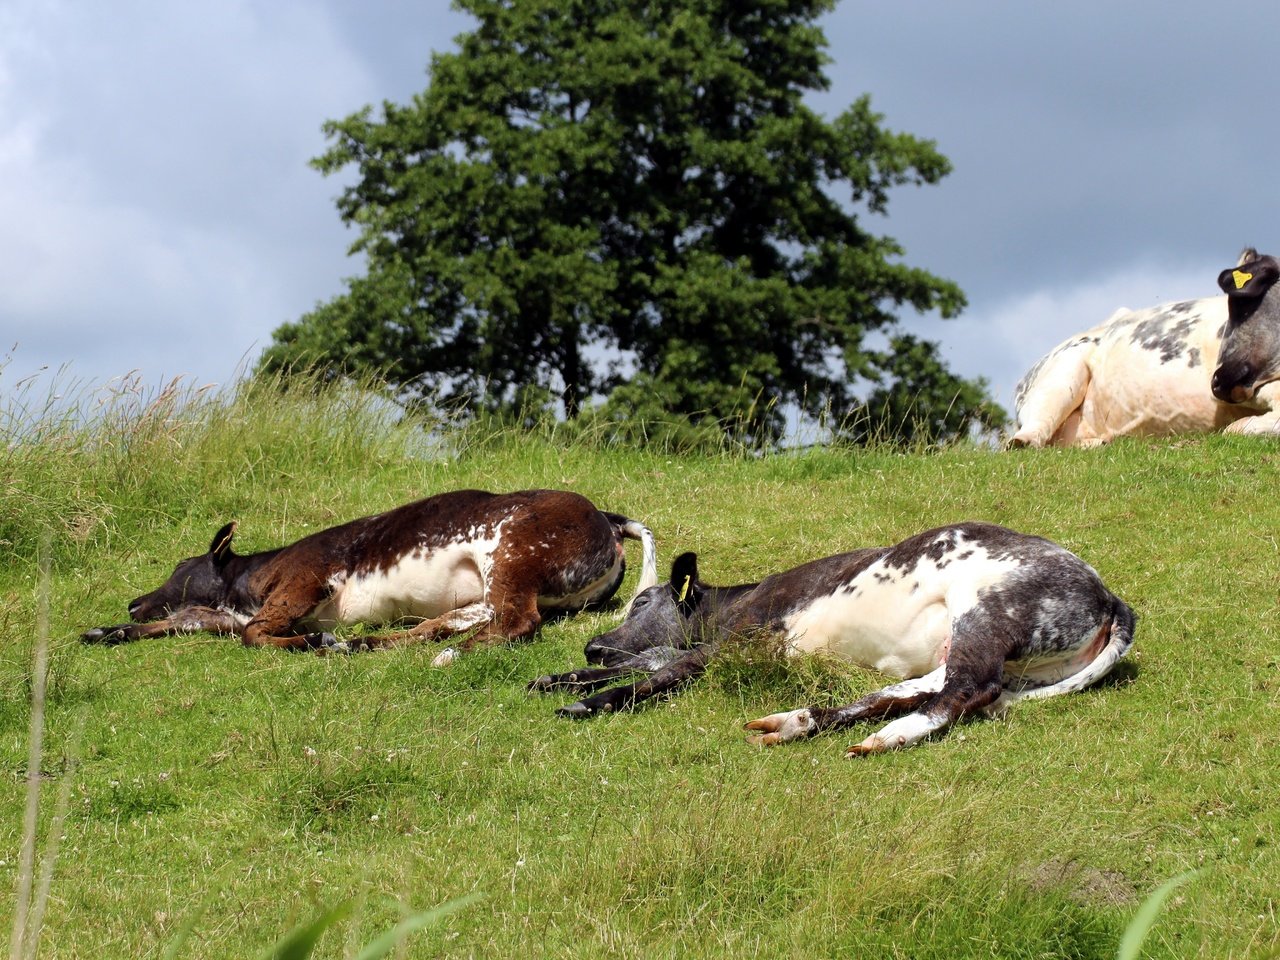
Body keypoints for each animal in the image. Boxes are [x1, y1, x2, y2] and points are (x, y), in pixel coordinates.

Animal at [83, 491, 660, 665]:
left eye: (180, 568)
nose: (133, 602)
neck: (245, 585)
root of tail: (609, 518)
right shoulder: (227, 614)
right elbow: (186, 622)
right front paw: (107, 631)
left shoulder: (304, 581)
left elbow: (255, 634)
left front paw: (311, 641)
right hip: (491, 586)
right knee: (450, 622)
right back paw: (366, 643)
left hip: (513, 554)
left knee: (517, 622)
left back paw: (446, 655)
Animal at [527, 522, 1131, 757]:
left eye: (641, 603)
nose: (593, 643)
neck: (734, 602)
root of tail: (1108, 593)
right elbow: (649, 660)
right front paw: (561, 677)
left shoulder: (736, 643)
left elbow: (662, 669)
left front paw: (592, 700)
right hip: (968, 649)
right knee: (914, 690)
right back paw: (797, 722)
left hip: (985, 612)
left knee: (964, 692)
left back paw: (887, 737)